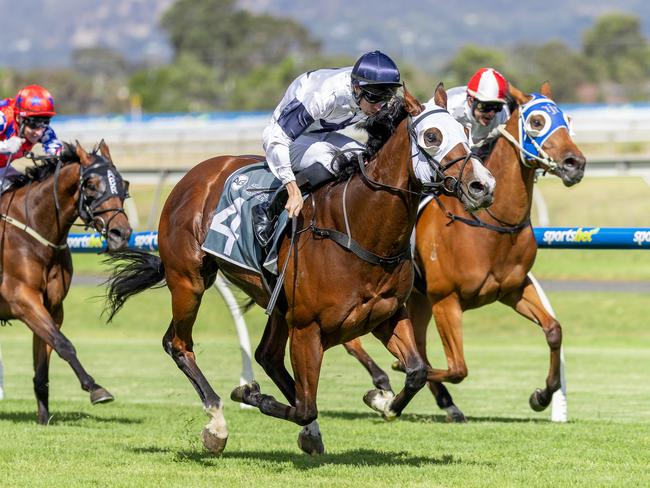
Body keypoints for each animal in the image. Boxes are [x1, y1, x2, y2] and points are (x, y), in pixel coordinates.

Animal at [0, 141, 132, 424]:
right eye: (91, 184)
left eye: (122, 184)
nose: (121, 233)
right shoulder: (22, 299)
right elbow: (64, 344)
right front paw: (96, 389)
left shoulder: (52, 306)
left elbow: (44, 360)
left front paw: (43, 417)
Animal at [104, 86, 494, 456]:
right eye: (432, 136)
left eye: (465, 130)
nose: (483, 185)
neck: (360, 228)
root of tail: (194, 176)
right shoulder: (308, 328)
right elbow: (306, 404)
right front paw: (250, 395)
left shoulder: (386, 316)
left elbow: (415, 372)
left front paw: (380, 400)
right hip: (190, 281)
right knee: (180, 344)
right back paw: (217, 425)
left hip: (276, 304)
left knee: (267, 356)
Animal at [342, 82, 584, 422]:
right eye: (537, 121)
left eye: (568, 119)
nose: (576, 163)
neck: (490, 225)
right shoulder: (446, 299)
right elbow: (456, 368)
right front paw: (389, 382)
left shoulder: (514, 289)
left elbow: (554, 331)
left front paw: (542, 395)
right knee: (354, 340)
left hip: (418, 299)